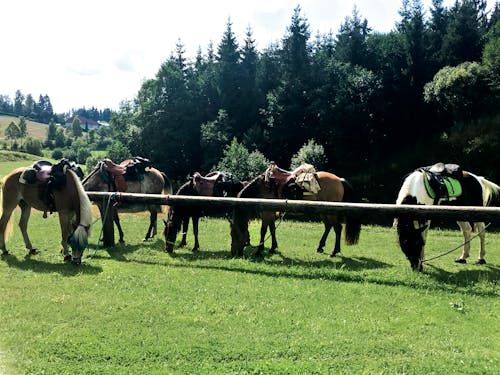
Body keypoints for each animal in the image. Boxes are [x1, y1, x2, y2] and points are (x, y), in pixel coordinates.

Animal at [232, 164, 362, 258]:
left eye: (235, 234)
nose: (236, 252)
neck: (263, 186)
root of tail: (339, 180)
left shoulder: (267, 212)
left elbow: (263, 230)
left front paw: (259, 250)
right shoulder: (271, 211)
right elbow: (272, 229)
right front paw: (273, 248)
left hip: (331, 212)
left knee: (337, 228)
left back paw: (334, 252)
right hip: (324, 210)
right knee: (328, 226)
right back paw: (320, 247)